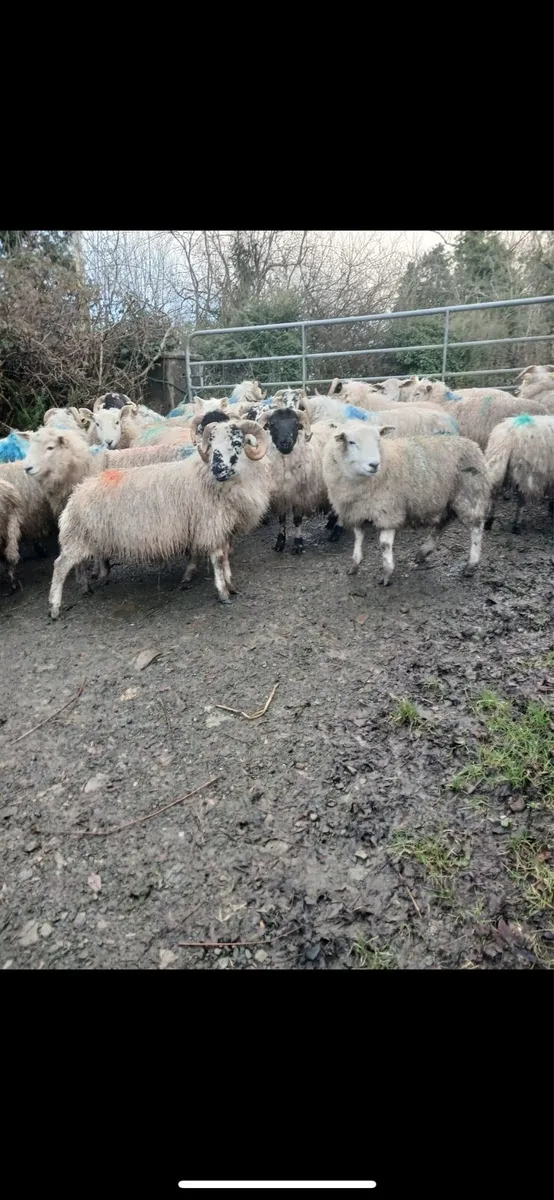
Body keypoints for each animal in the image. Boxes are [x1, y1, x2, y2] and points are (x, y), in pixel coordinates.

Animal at [48, 418, 271, 617]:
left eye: (236, 442)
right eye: (212, 443)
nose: (217, 469)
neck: (209, 480)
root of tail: (76, 494)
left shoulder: (223, 528)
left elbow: (225, 559)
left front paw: (231, 585)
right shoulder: (210, 527)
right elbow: (217, 560)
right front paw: (223, 593)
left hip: (84, 538)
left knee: (77, 564)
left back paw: (85, 587)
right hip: (76, 538)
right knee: (60, 566)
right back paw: (54, 608)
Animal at [322, 421, 490, 585]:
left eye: (378, 440)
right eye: (351, 442)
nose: (374, 464)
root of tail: (472, 443)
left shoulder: (388, 510)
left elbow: (384, 544)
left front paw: (387, 572)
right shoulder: (356, 512)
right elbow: (358, 538)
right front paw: (355, 564)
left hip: (469, 493)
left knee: (476, 527)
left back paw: (471, 564)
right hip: (446, 498)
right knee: (443, 522)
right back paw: (424, 551)